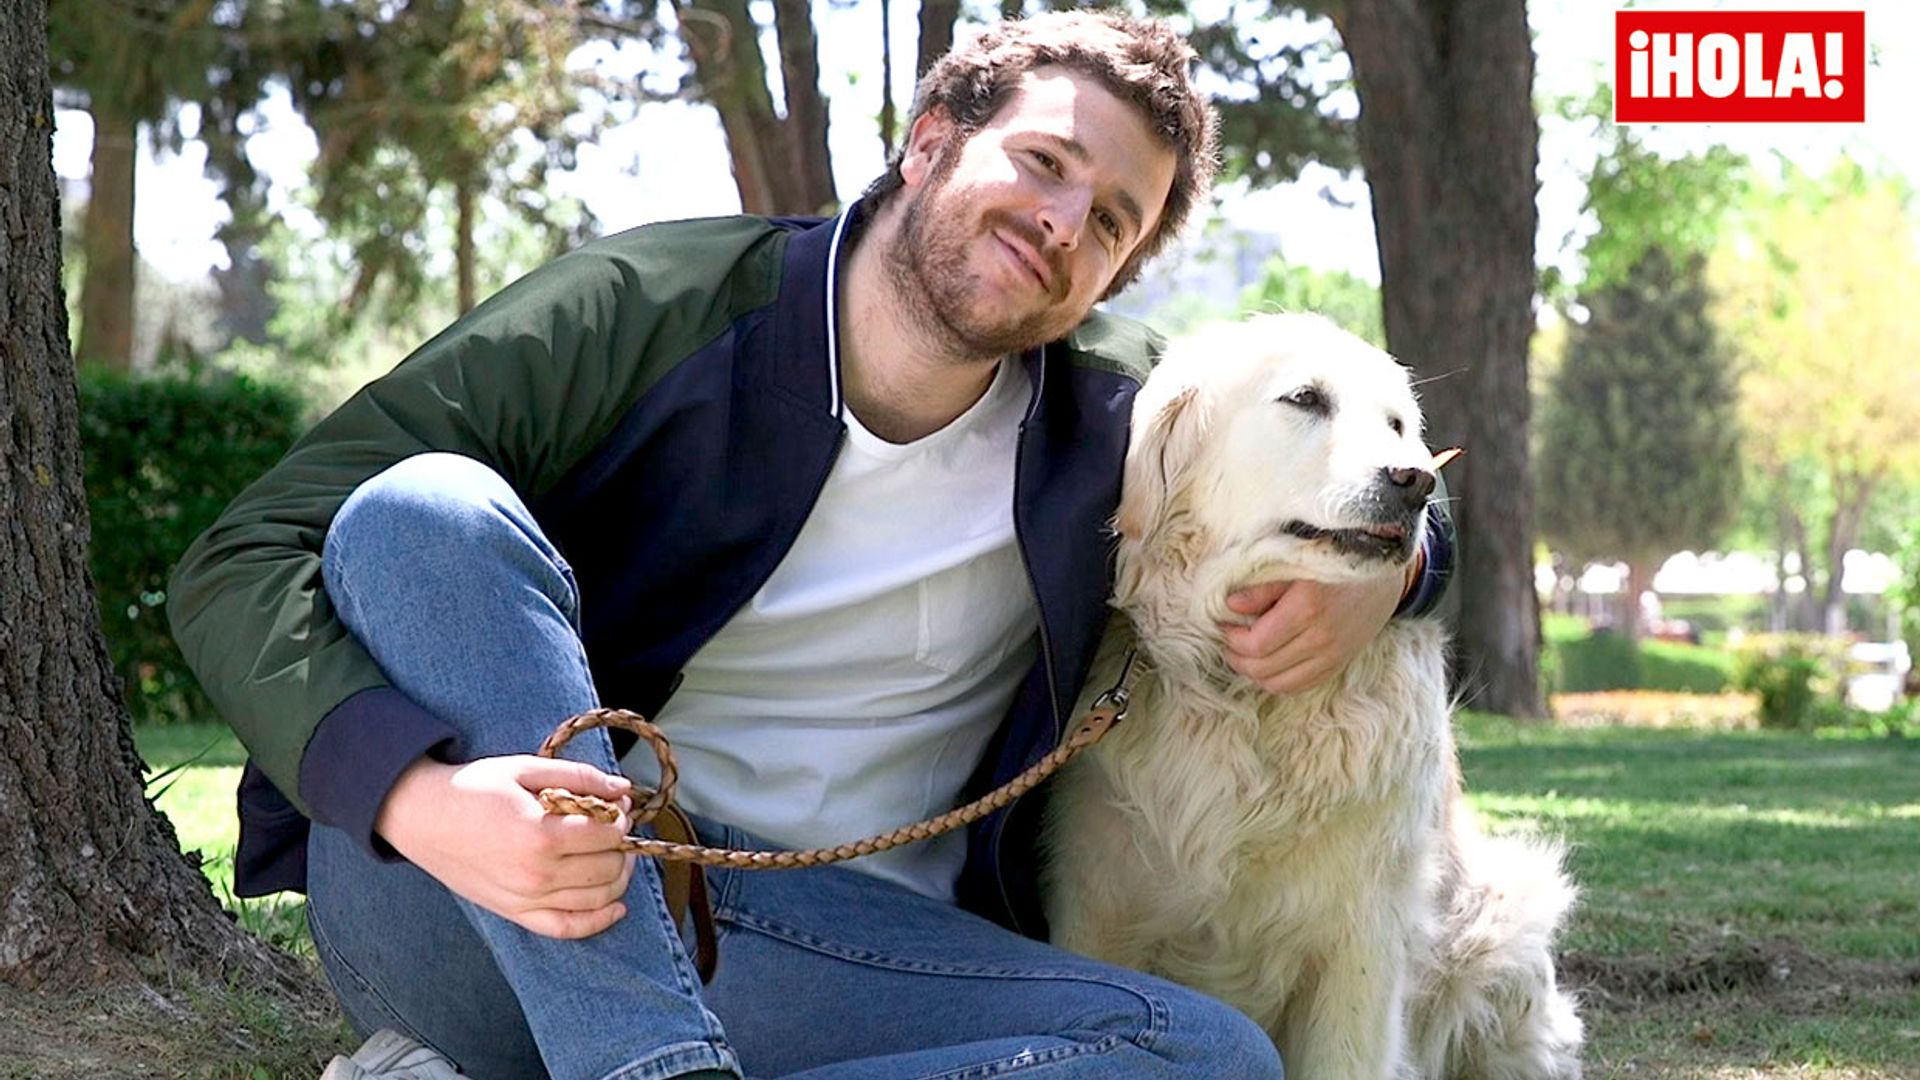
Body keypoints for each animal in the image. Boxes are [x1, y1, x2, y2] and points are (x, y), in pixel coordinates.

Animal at [1044, 311, 1582, 1076]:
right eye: (1305, 399)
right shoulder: (1096, 910)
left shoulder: (1364, 943)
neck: (1247, 697)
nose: (1416, 480)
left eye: (1397, 424)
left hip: (1506, 923)